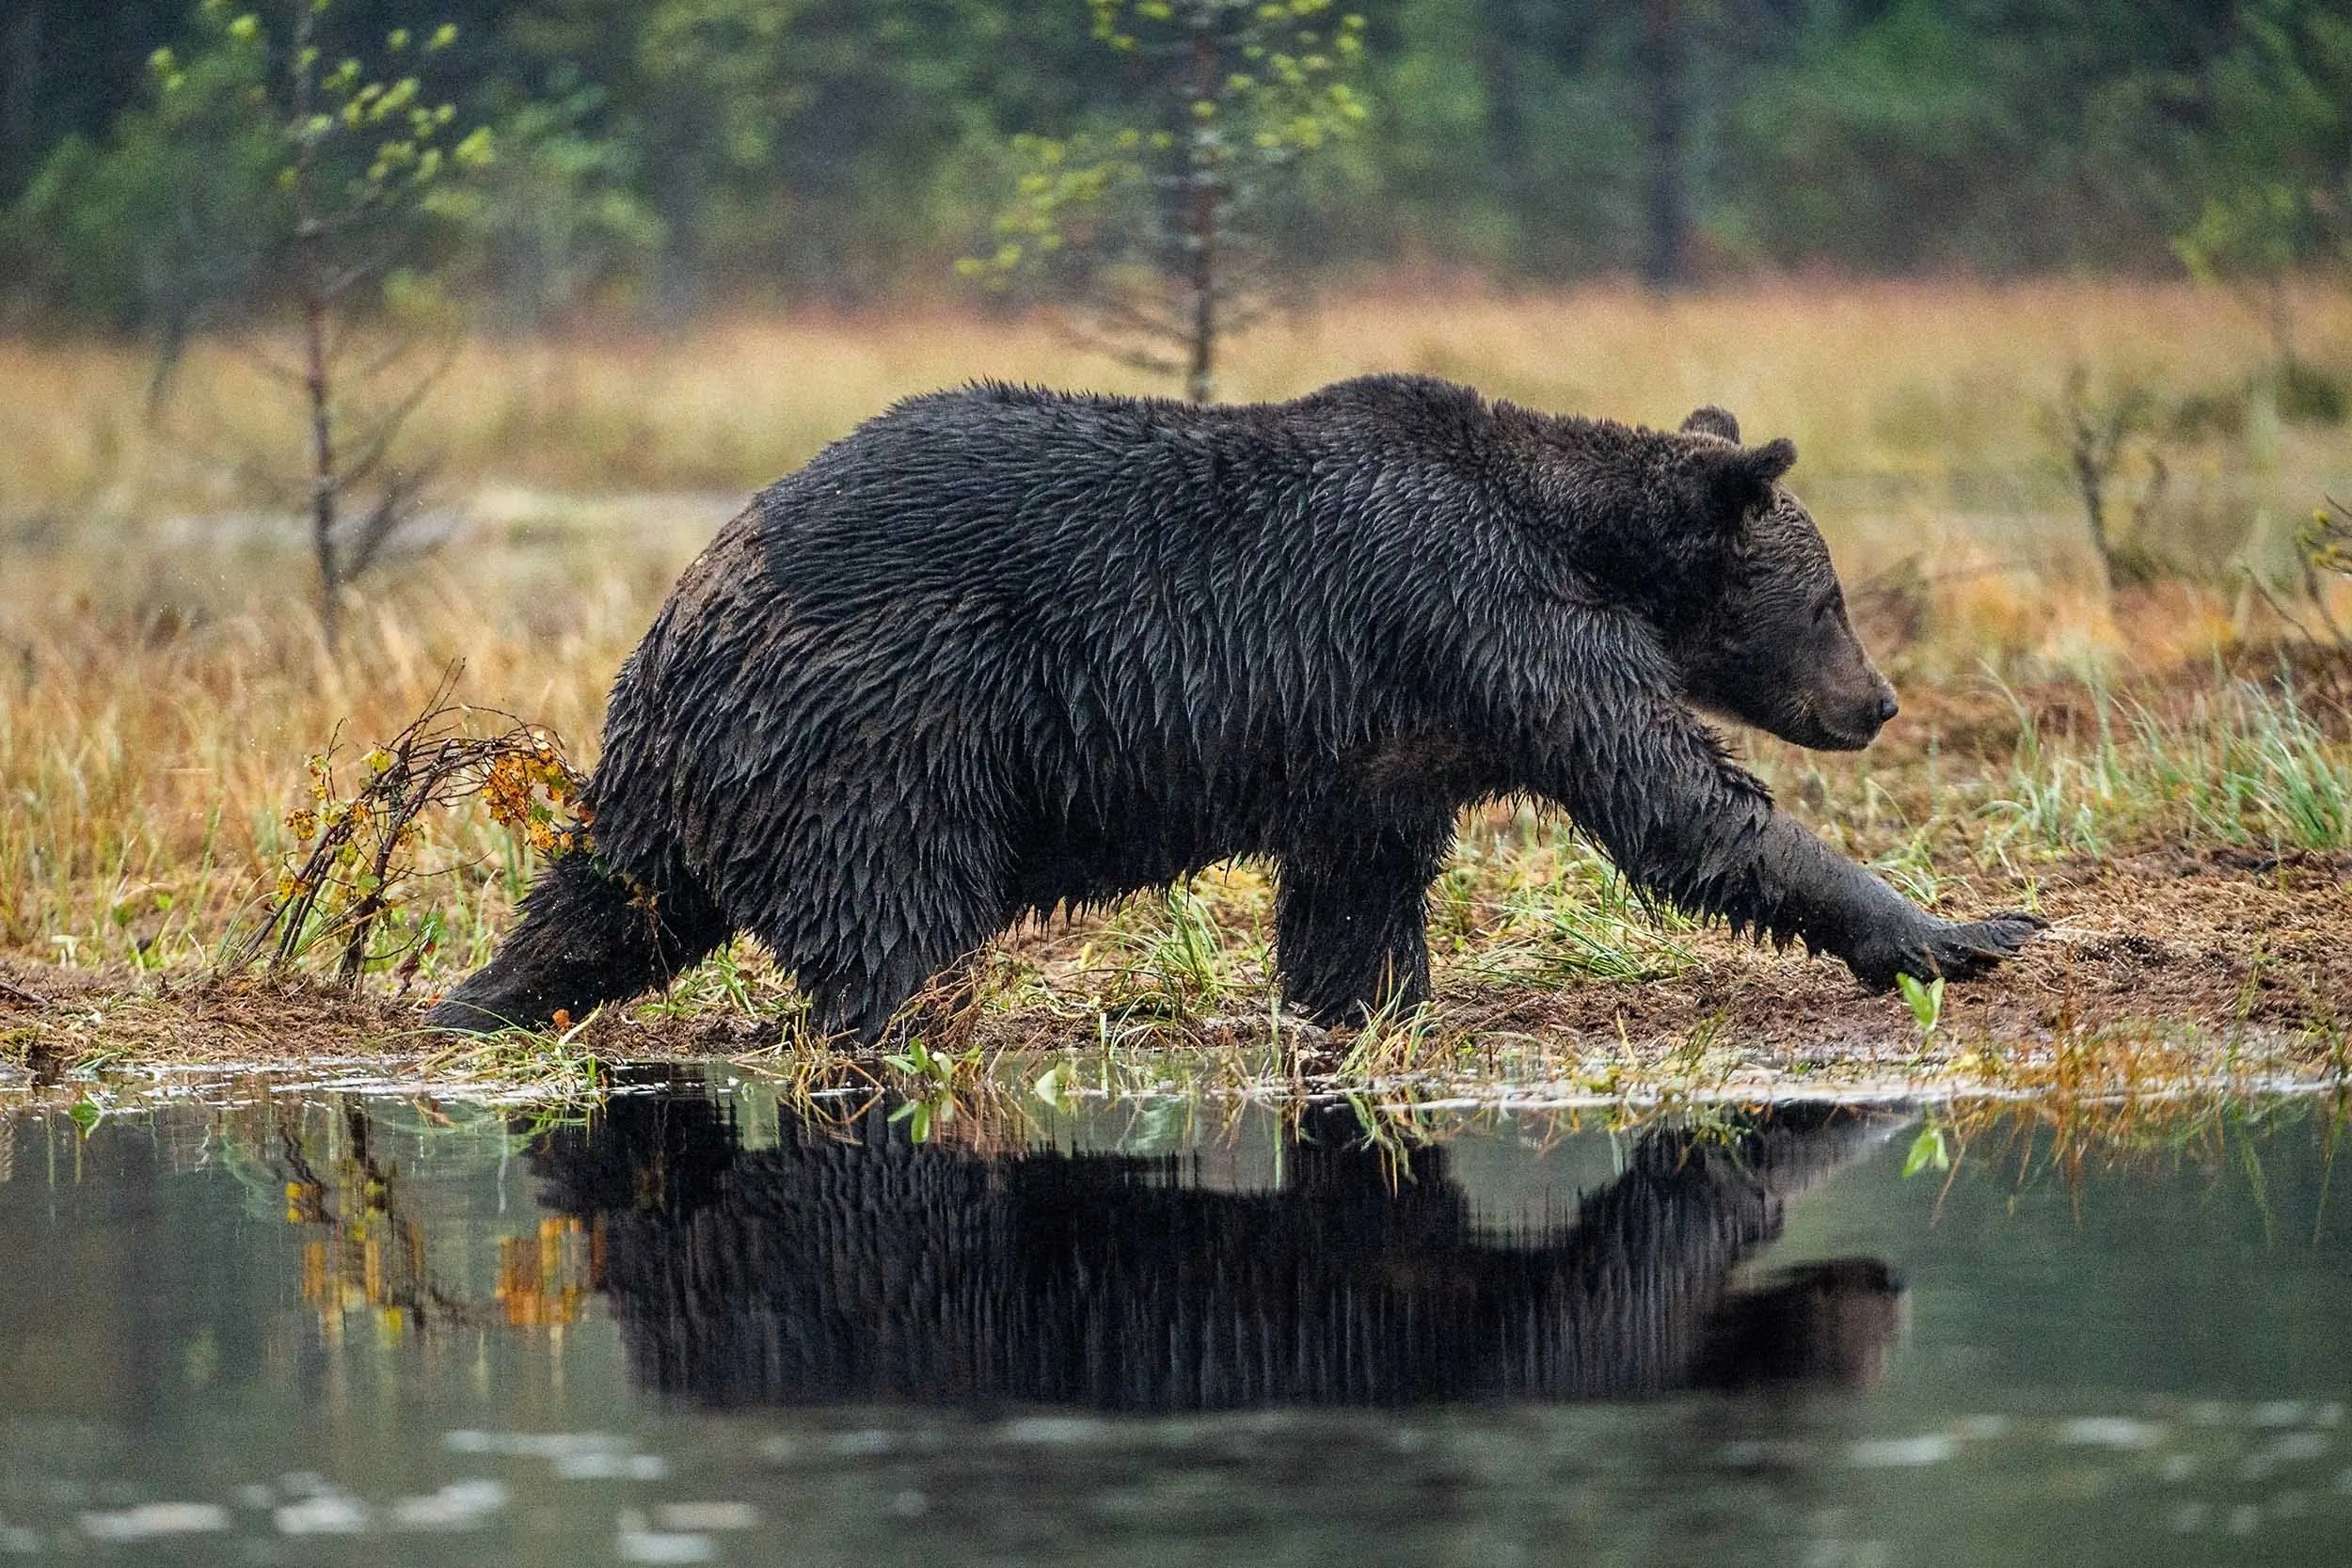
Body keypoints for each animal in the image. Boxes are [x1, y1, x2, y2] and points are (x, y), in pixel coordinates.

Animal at [429, 374, 2041, 1043]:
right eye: (1827, 596)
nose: (1877, 700)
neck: (1574, 537)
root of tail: (686, 614)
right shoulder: (1479, 616)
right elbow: (1677, 801)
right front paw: (1960, 925)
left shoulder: (1388, 728)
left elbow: (1355, 892)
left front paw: (1368, 1004)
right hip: (888, 724)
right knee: (894, 922)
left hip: (677, 773)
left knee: (600, 903)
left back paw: (473, 1000)